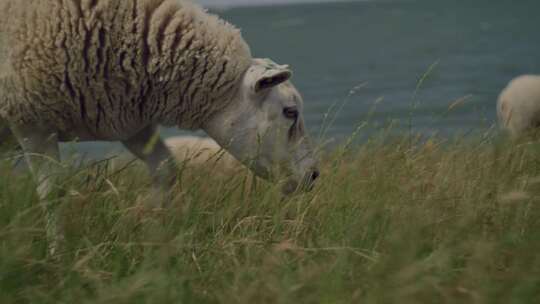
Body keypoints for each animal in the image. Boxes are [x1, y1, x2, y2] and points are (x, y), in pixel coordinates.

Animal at [0, 0, 318, 256]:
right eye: (290, 112)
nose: (314, 175)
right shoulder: (30, 121)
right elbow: (52, 192)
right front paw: (59, 256)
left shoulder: (129, 121)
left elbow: (165, 168)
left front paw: (149, 230)